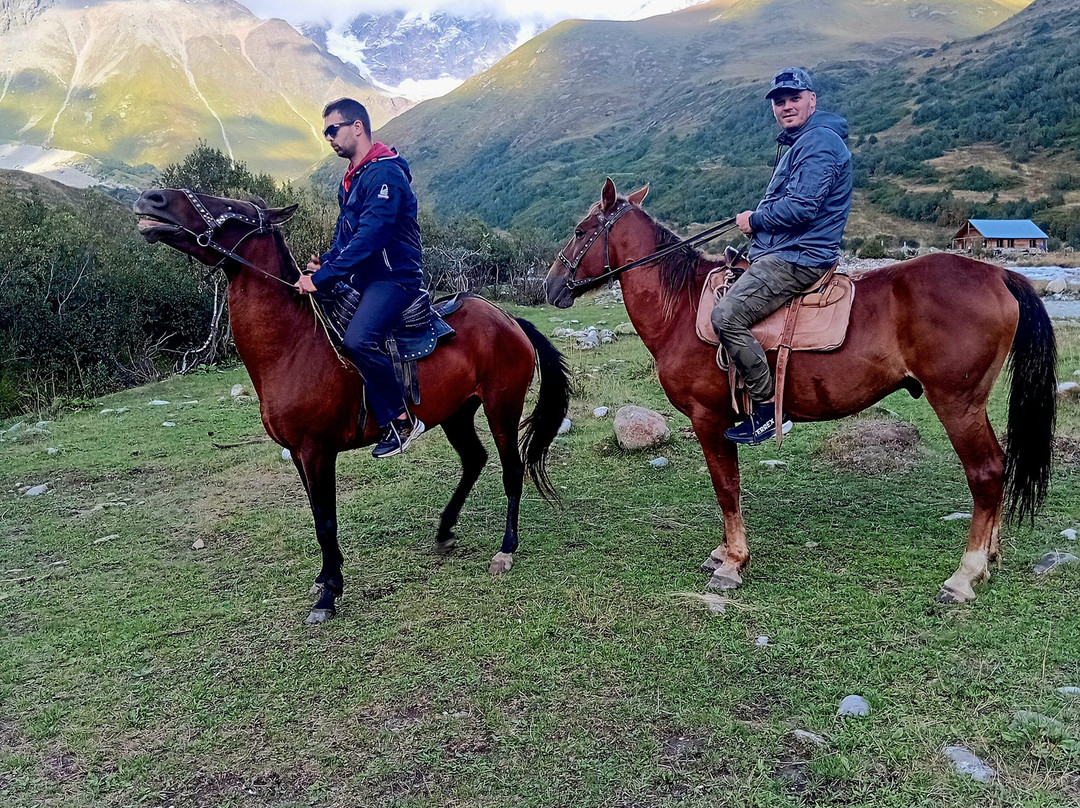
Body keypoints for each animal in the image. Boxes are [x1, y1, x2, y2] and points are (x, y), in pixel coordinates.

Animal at [134, 188, 572, 624]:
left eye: (230, 209)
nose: (151, 199)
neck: (295, 344)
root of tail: (509, 320)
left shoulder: (316, 450)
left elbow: (326, 521)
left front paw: (328, 595)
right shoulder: (298, 454)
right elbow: (317, 516)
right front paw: (326, 579)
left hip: (502, 408)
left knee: (512, 471)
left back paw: (506, 549)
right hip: (457, 413)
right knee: (474, 460)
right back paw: (445, 531)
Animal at [545, 179, 1056, 603]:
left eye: (579, 230)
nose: (550, 287)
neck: (682, 307)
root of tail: (998, 275)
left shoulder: (708, 418)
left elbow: (726, 487)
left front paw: (733, 563)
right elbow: (729, 487)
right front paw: (724, 552)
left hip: (957, 403)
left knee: (986, 472)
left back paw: (965, 574)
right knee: (998, 467)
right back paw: (989, 559)